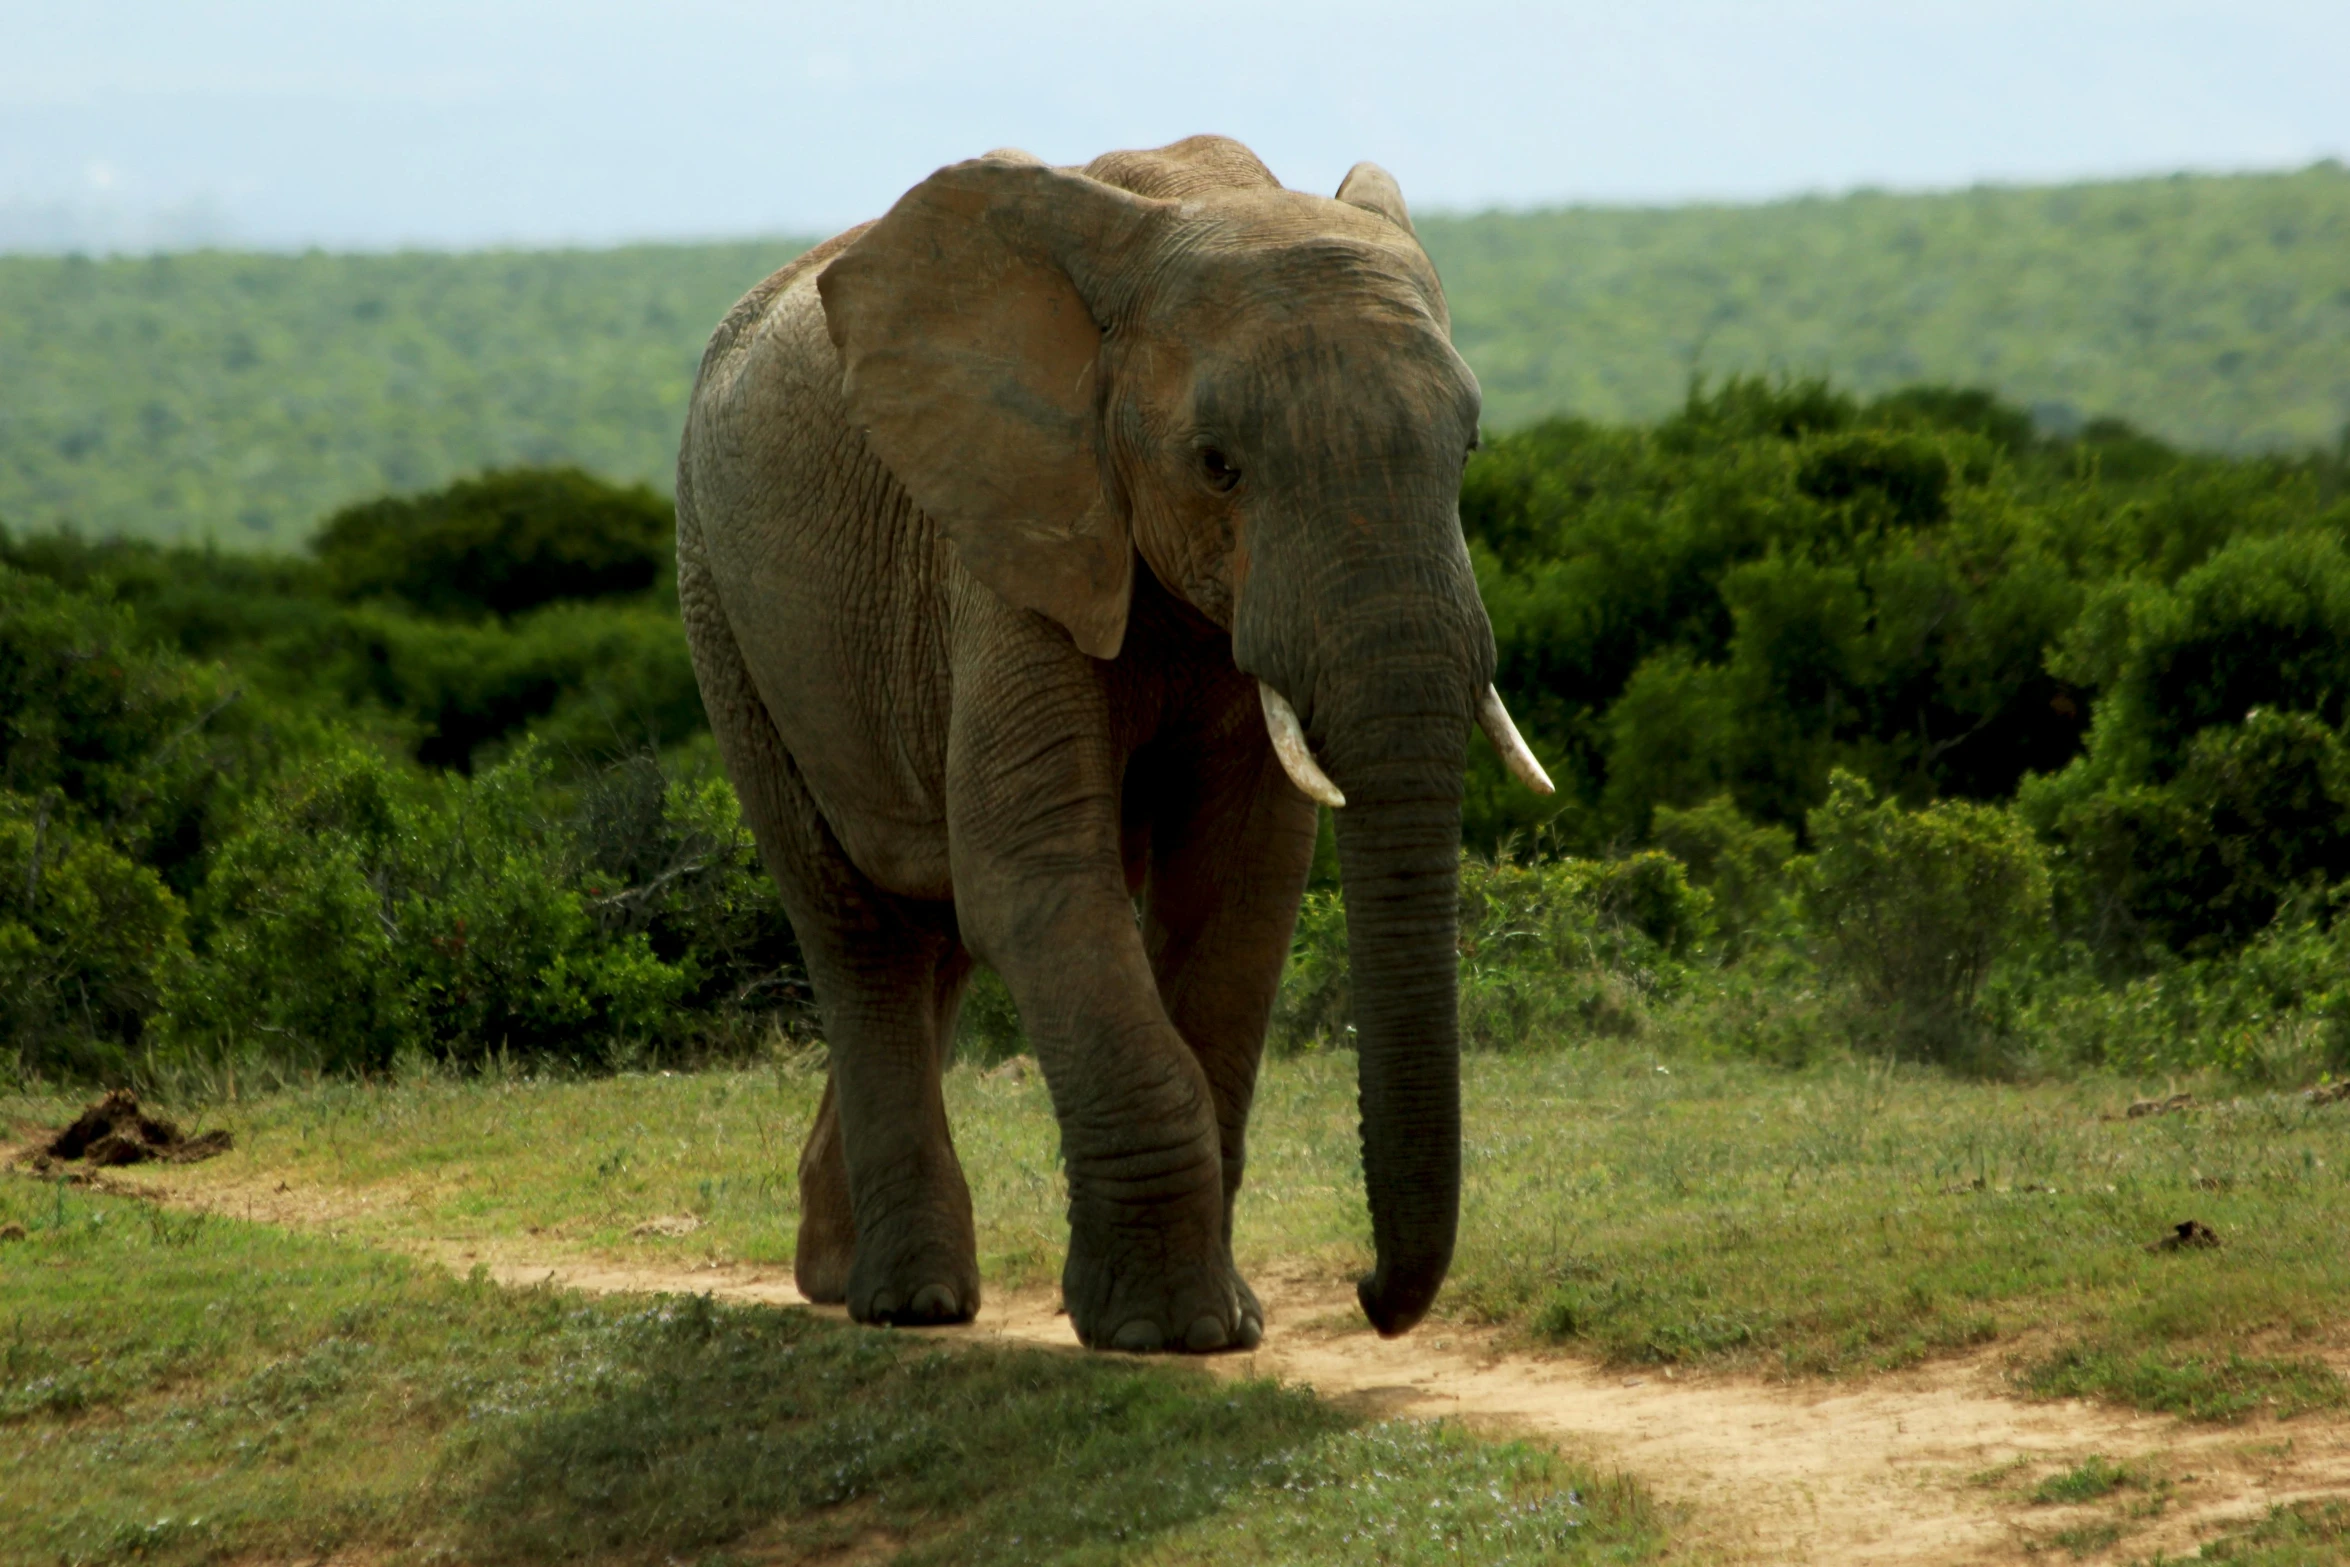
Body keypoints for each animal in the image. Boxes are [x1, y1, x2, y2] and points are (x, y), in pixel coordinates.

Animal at [681, 135, 1550, 1353]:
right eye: (1217, 464)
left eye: (1467, 449)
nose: (1371, 1295)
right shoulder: (1012, 539)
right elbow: (1037, 880)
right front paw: (1168, 1331)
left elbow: (1238, 889)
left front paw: (1221, 1321)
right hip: (722, 605)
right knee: (857, 924)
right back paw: (907, 1301)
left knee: (935, 932)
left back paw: (835, 1271)